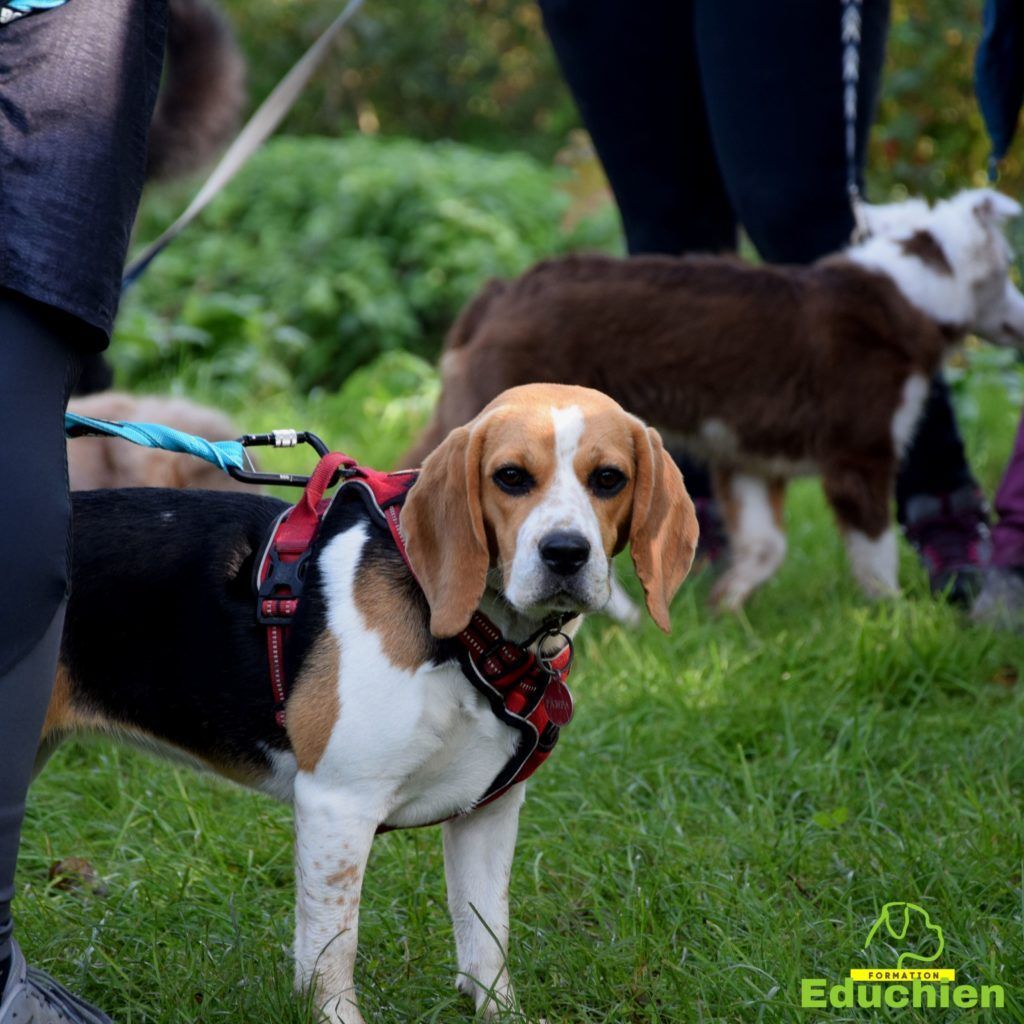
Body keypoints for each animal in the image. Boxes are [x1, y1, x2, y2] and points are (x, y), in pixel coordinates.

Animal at [39, 385, 696, 1024]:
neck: (475, 635)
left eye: (608, 478)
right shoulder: (337, 806)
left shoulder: (488, 813)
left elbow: (487, 937)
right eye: (510, 477)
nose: (566, 552)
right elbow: (333, 948)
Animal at [407, 189, 1024, 610]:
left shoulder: (745, 453)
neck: (911, 288)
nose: (1022, 318)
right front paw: (893, 619)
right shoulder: (860, 453)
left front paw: (725, 605)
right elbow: (875, 551)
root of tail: (498, 293)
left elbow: (765, 545)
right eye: (1008, 268)